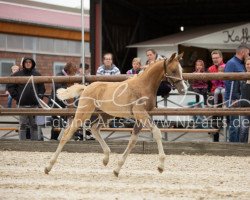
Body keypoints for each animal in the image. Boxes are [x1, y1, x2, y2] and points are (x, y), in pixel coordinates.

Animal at [44, 52, 186, 177]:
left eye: (181, 69)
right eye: (173, 70)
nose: (183, 89)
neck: (143, 85)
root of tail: (86, 88)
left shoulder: (141, 118)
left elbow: (133, 141)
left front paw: (117, 169)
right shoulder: (140, 113)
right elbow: (156, 132)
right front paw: (161, 166)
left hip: (105, 115)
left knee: (94, 129)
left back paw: (106, 158)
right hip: (83, 114)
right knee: (67, 134)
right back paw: (48, 167)